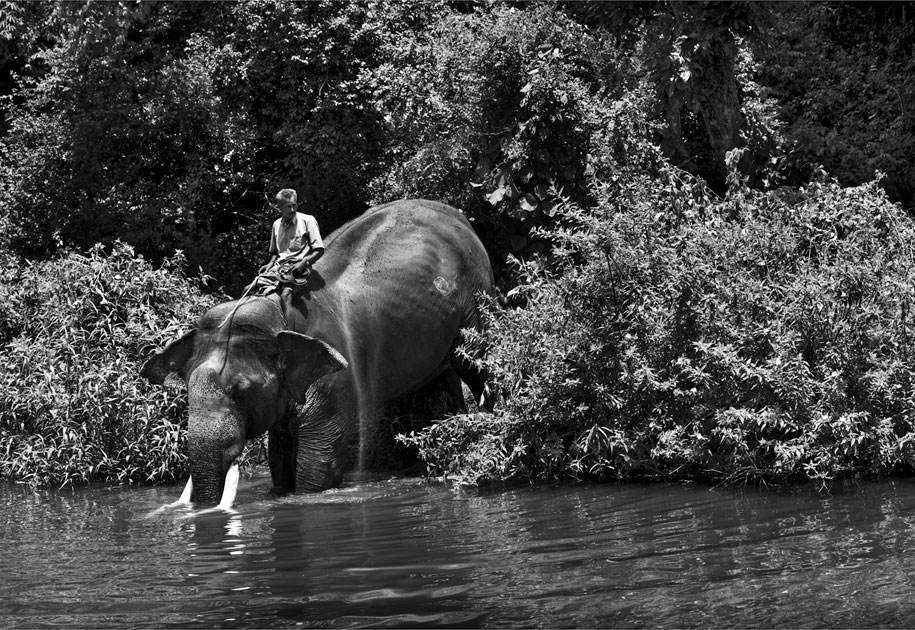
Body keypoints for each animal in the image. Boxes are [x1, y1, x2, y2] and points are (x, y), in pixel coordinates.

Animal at [141, 199, 493, 506]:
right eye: (186, 390)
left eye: (243, 390)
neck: (277, 311)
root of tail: (463, 219)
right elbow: (279, 455)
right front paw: (279, 490)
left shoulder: (334, 372)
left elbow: (319, 462)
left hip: (476, 297)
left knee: (473, 363)